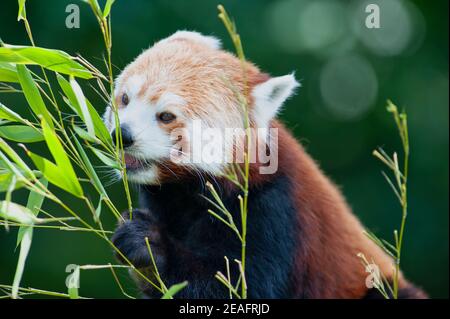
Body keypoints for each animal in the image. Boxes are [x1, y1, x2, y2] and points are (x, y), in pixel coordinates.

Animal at [103, 31, 428, 298]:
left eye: (166, 116)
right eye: (125, 99)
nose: (122, 135)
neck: (187, 194)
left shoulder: (276, 213)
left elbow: (236, 285)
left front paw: (148, 243)